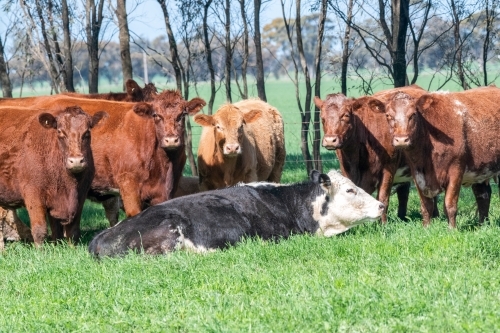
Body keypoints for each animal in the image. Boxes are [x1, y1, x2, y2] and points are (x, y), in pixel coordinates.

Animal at [0, 105, 106, 248]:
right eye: (60, 132)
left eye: (87, 132)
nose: (76, 161)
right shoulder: (33, 194)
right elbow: (40, 230)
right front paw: (40, 251)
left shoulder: (80, 195)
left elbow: (69, 230)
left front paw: (69, 249)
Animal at [314, 84, 428, 222]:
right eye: (322, 118)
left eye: (345, 115)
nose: (330, 140)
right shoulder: (345, 169)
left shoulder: (388, 167)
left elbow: (383, 198)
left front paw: (383, 224)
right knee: (404, 192)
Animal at [386, 84, 500, 227]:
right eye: (388, 116)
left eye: (413, 114)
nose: (401, 140)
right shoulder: (417, 174)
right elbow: (426, 206)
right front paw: (426, 227)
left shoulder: (456, 170)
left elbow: (450, 205)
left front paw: (452, 229)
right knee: (483, 195)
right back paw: (482, 225)